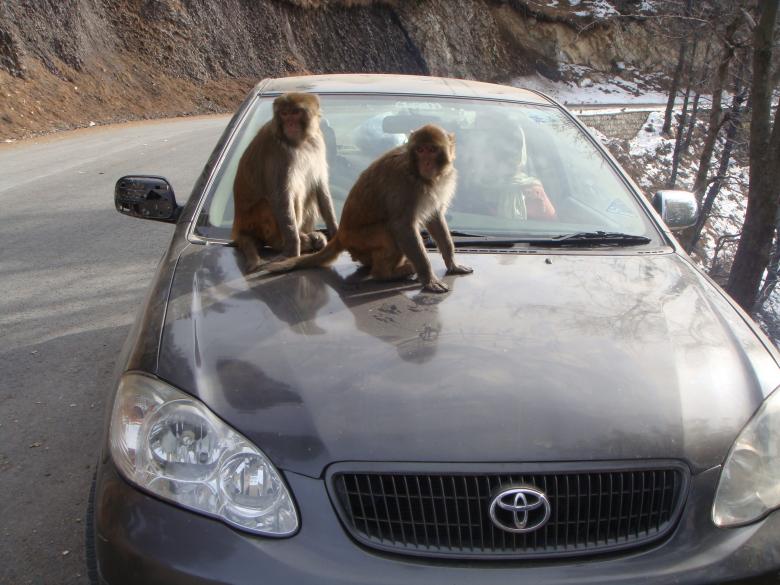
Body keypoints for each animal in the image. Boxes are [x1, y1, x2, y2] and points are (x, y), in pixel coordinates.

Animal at [232, 92, 338, 272]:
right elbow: (280, 196)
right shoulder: (277, 152)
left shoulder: (317, 142)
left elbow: (320, 187)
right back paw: (287, 242)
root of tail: (239, 227)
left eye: (295, 112)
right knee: (282, 198)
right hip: (256, 223)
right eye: (284, 114)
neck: (301, 142)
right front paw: (292, 250)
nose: (289, 123)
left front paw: (337, 233)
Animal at [266, 124, 473, 293]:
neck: (420, 176)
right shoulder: (403, 185)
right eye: (420, 150)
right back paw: (387, 274)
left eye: (432, 150)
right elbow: (402, 226)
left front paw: (452, 263)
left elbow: (435, 219)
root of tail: (340, 234)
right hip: (359, 239)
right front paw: (429, 278)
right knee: (389, 232)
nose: (427, 163)